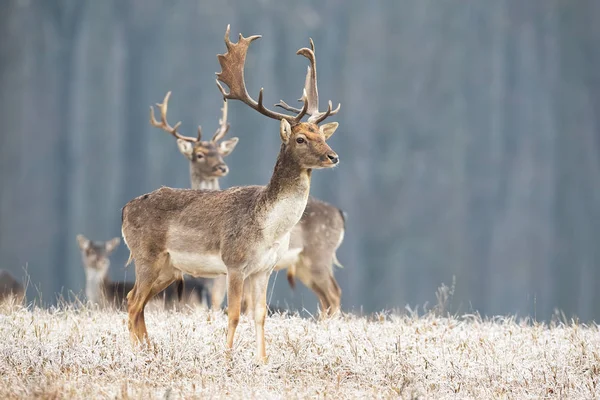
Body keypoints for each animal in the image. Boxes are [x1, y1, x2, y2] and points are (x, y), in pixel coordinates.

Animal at [120, 26, 342, 360]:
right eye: (301, 138)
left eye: (321, 135)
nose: (333, 156)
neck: (269, 228)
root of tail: (124, 209)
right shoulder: (235, 262)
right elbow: (234, 313)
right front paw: (227, 358)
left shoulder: (265, 268)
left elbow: (260, 315)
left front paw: (262, 361)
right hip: (146, 255)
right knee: (133, 301)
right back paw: (140, 354)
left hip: (170, 268)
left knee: (138, 302)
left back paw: (150, 351)